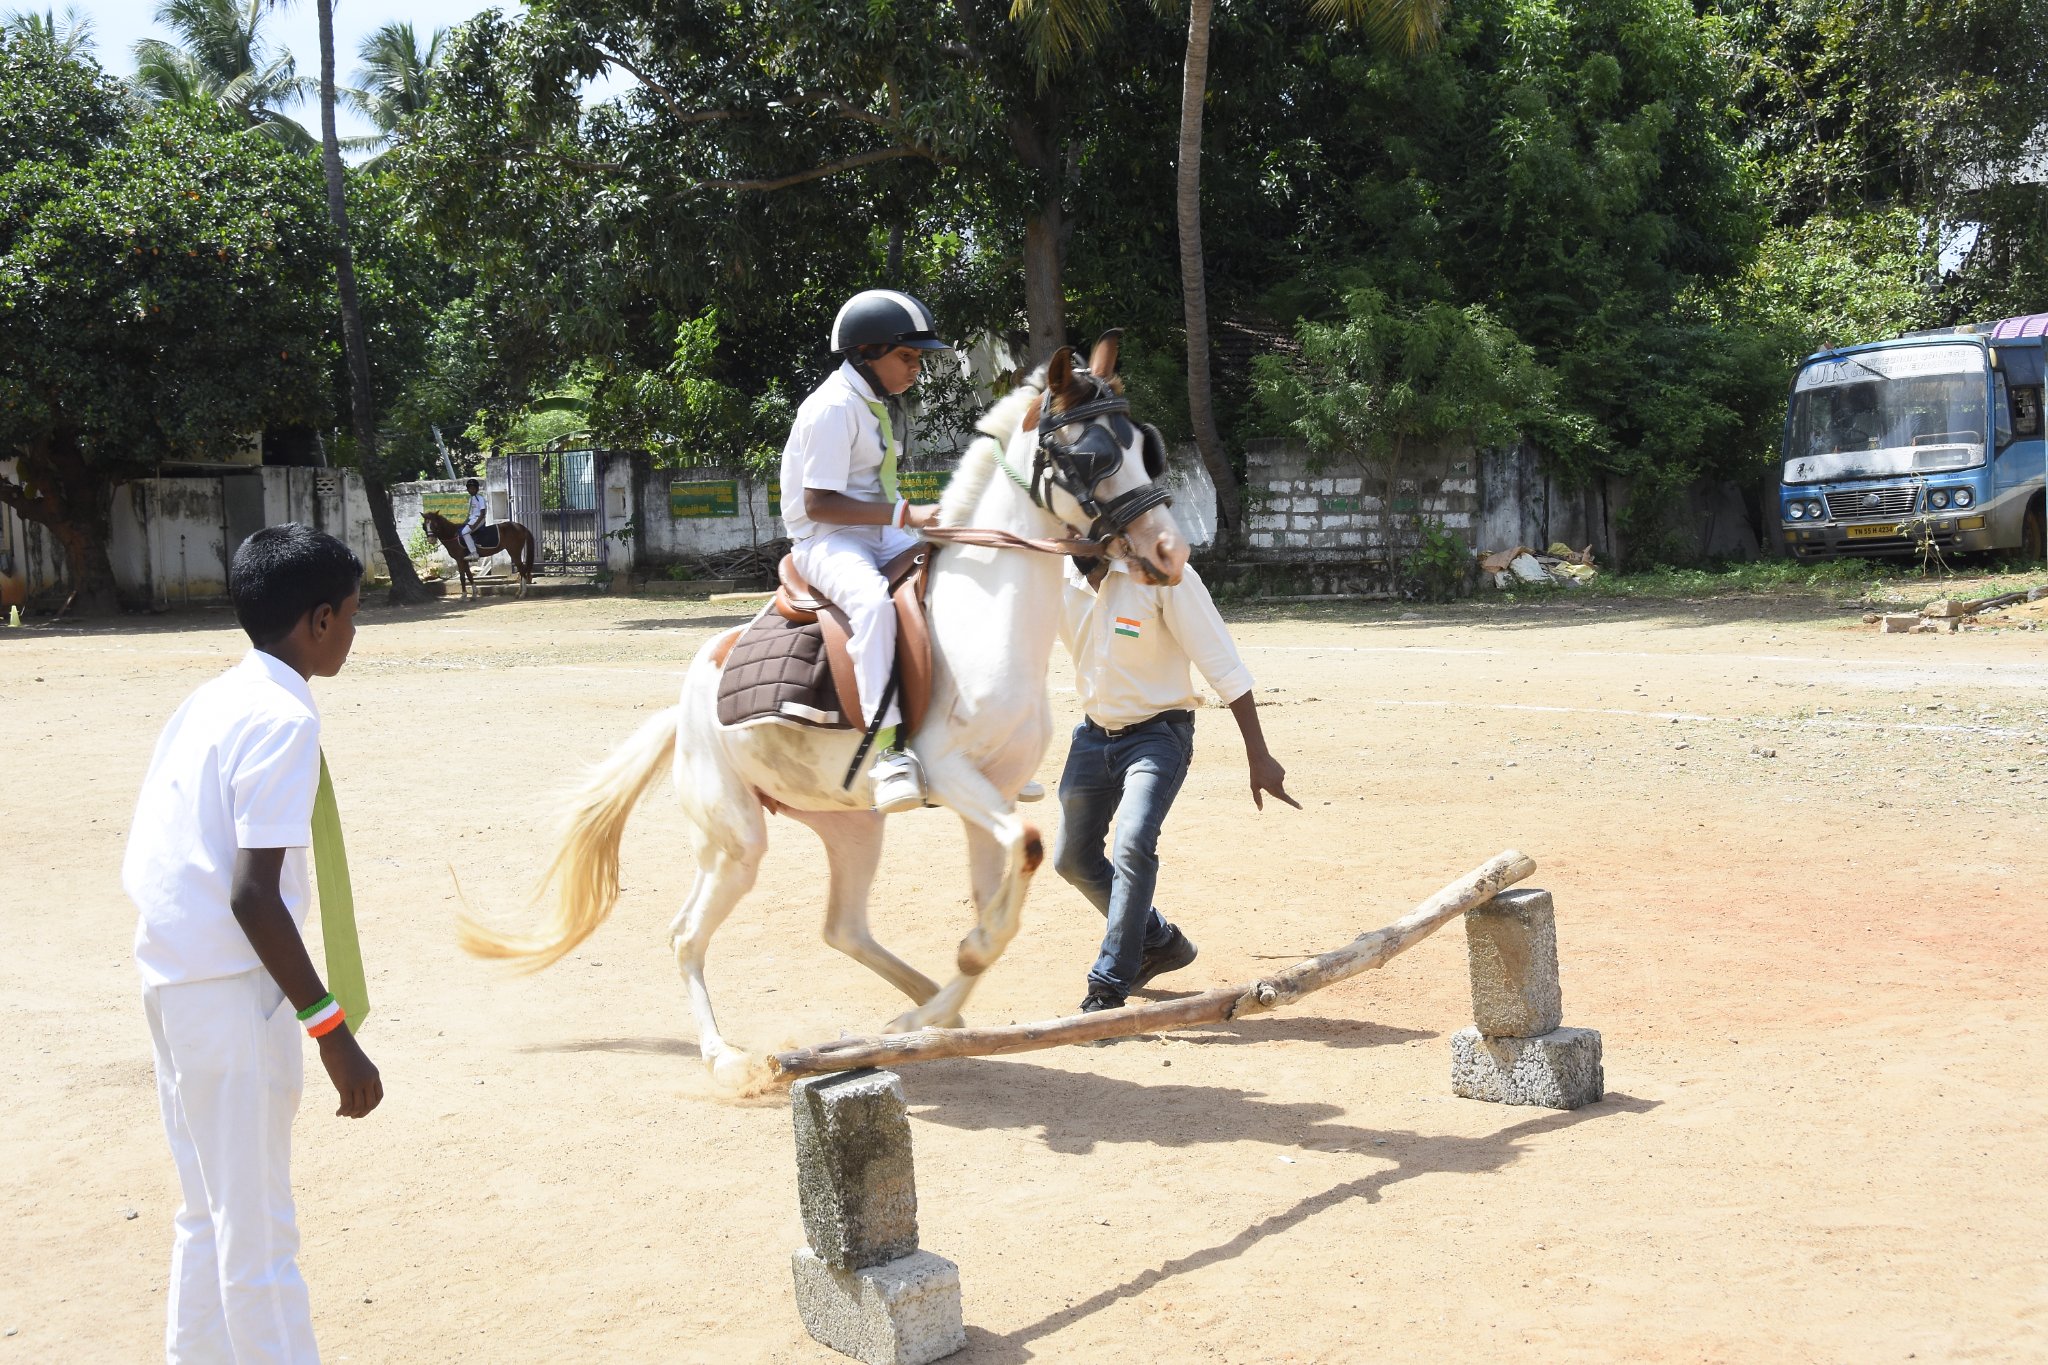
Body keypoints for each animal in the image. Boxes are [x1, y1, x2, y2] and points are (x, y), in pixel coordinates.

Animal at [460, 335, 1187, 1096]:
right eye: (1090, 457)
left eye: (1145, 447)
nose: (1171, 552)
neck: (986, 613)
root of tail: (688, 701)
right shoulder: (951, 773)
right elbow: (1020, 865)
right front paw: (954, 977)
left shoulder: (991, 790)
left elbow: (1008, 887)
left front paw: (939, 1004)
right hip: (735, 842)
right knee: (686, 934)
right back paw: (728, 1058)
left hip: (852, 826)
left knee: (843, 928)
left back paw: (918, 1012)